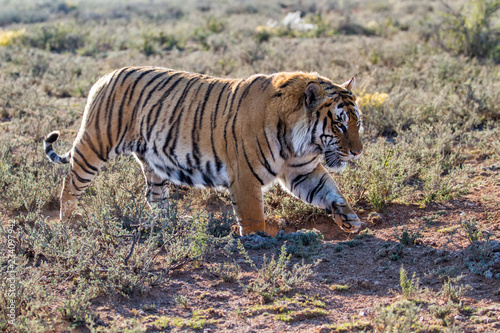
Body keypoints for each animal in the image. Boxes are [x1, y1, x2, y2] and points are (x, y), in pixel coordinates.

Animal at [44, 66, 364, 235]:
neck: (298, 143)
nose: (358, 152)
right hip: (94, 145)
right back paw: (67, 223)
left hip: (153, 162)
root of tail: (105, 76)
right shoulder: (246, 178)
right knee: (69, 184)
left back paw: (171, 225)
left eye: (357, 122)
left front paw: (349, 218)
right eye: (339, 125)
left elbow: (330, 190)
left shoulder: (303, 170)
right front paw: (260, 240)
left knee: (154, 197)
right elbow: (253, 217)